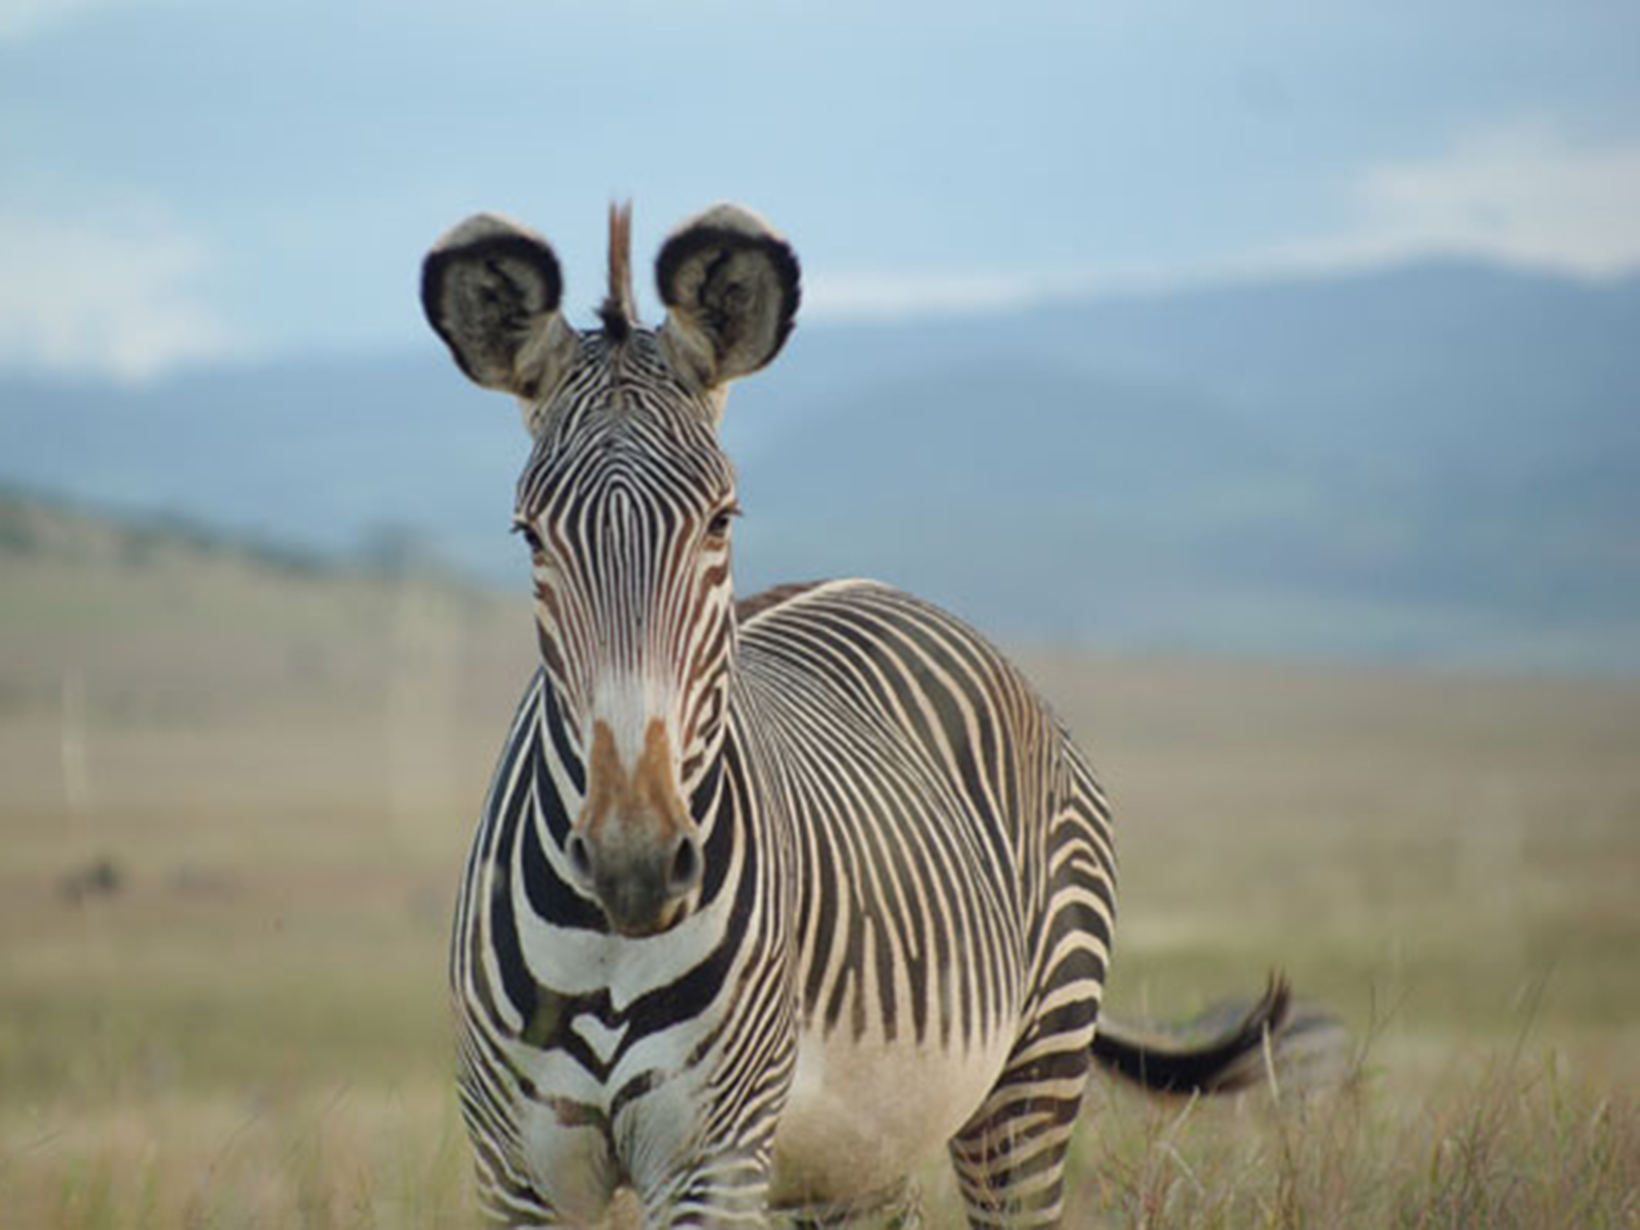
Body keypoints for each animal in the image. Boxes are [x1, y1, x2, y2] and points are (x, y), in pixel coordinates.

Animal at [423, 203, 1319, 1229]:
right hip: (860, 1151)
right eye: (529, 534)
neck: (614, 941)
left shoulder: (710, 1155)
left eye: (722, 520)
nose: (634, 861)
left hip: (1032, 1077)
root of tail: (884, 585)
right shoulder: (520, 1170)